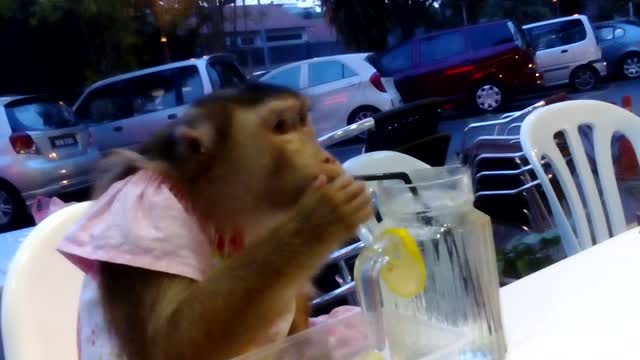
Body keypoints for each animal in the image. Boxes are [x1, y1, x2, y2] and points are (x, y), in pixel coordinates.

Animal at [57, 82, 372, 360]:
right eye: (282, 126)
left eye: (302, 121)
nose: (327, 158)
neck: (212, 202)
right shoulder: (145, 206)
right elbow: (169, 344)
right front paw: (319, 219)